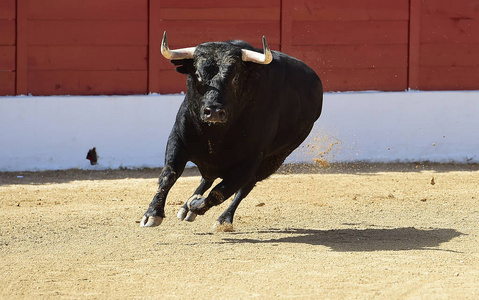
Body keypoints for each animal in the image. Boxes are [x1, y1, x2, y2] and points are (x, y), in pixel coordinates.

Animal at [141, 32, 324, 229]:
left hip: (276, 158)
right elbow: (168, 175)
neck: (214, 134)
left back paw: (222, 218)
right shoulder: (177, 139)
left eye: (235, 78)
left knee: (244, 187)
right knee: (207, 178)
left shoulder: (249, 161)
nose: (214, 111)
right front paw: (152, 214)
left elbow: (219, 193)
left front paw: (196, 204)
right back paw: (187, 208)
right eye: (197, 75)